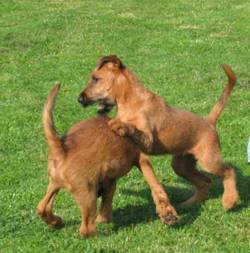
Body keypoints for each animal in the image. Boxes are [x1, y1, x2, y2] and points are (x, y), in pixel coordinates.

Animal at [37, 84, 178, 237]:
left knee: (42, 207)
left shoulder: (108, 178)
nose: (81, 99)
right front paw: (167, 213)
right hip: (88, 196)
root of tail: (62, 149)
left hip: (54, 184)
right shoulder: (142, 159)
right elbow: (155, 184)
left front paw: (104, 218)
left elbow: (107, 198)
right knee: (86, 229)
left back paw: (56, 222)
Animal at [79, 54, 239, 215]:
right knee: (205, 182)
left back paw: (229, 201)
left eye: (95, 79)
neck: (131, 102)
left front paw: (119, 125)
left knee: (229, 171)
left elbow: (133, 128)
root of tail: (209, 122)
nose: (79, 99)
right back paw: (189, 204)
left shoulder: (148, 140)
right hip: (181, 165)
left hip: (208, 160)